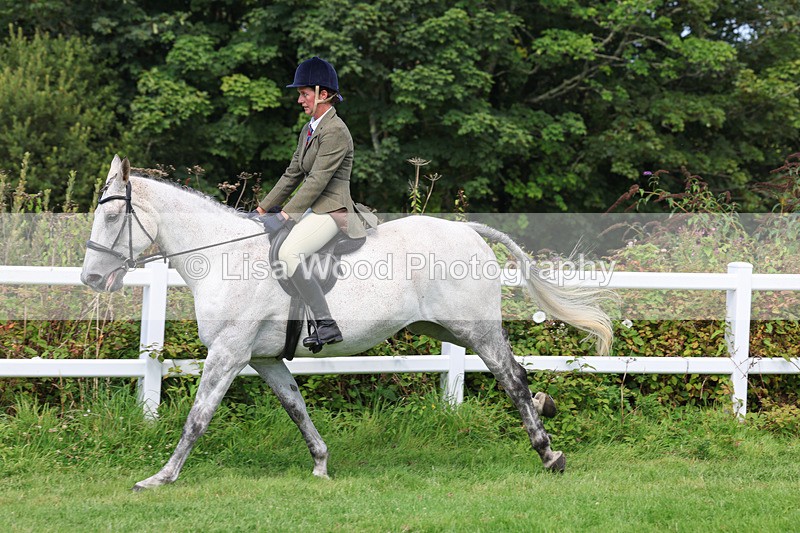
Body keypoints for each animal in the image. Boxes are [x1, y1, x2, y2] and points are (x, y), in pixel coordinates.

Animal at [81, 155, 613, 491]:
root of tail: (468, 231)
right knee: (513, 374)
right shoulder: (264, 359)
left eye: (112, 220)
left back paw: (549, 452)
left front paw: (161, 477)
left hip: (474, 328)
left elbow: (198, 417)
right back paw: (547, 411)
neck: (224, 257)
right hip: (441, 328)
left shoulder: (229, 353)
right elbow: (296, 407)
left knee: (512, 378)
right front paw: (320, 465)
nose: (90, 279)